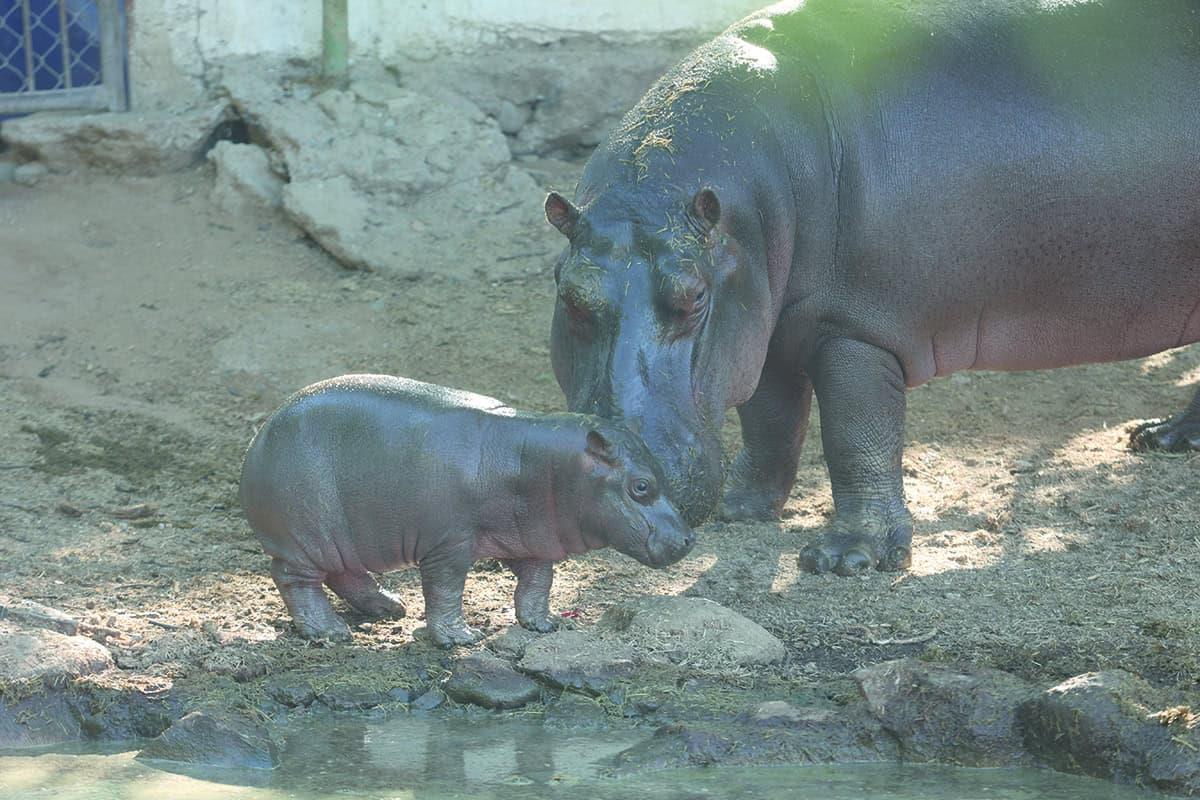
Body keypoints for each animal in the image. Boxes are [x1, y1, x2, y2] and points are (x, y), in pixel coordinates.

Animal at [240, 371, 700, 647]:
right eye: (641, 486)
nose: (688, 539)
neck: (536, 460)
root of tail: (258, 436)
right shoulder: (449, 545)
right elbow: (446, 589)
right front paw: (461, 638)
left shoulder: (534, 541)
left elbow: (539, 583)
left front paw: (544, 625)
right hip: (306, 536)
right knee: (296, 581)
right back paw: (331, 632)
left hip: (343, 537)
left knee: (344, 574)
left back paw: (390, 607)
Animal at [547, 0, 1200, 575]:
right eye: (569, 293)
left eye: (695, 297)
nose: (623, 473)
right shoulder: (764, 327)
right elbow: (770, 422)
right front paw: (741, 509)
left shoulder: (856, 330)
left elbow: (855, 437)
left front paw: (846, 559)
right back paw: (1161, 439)